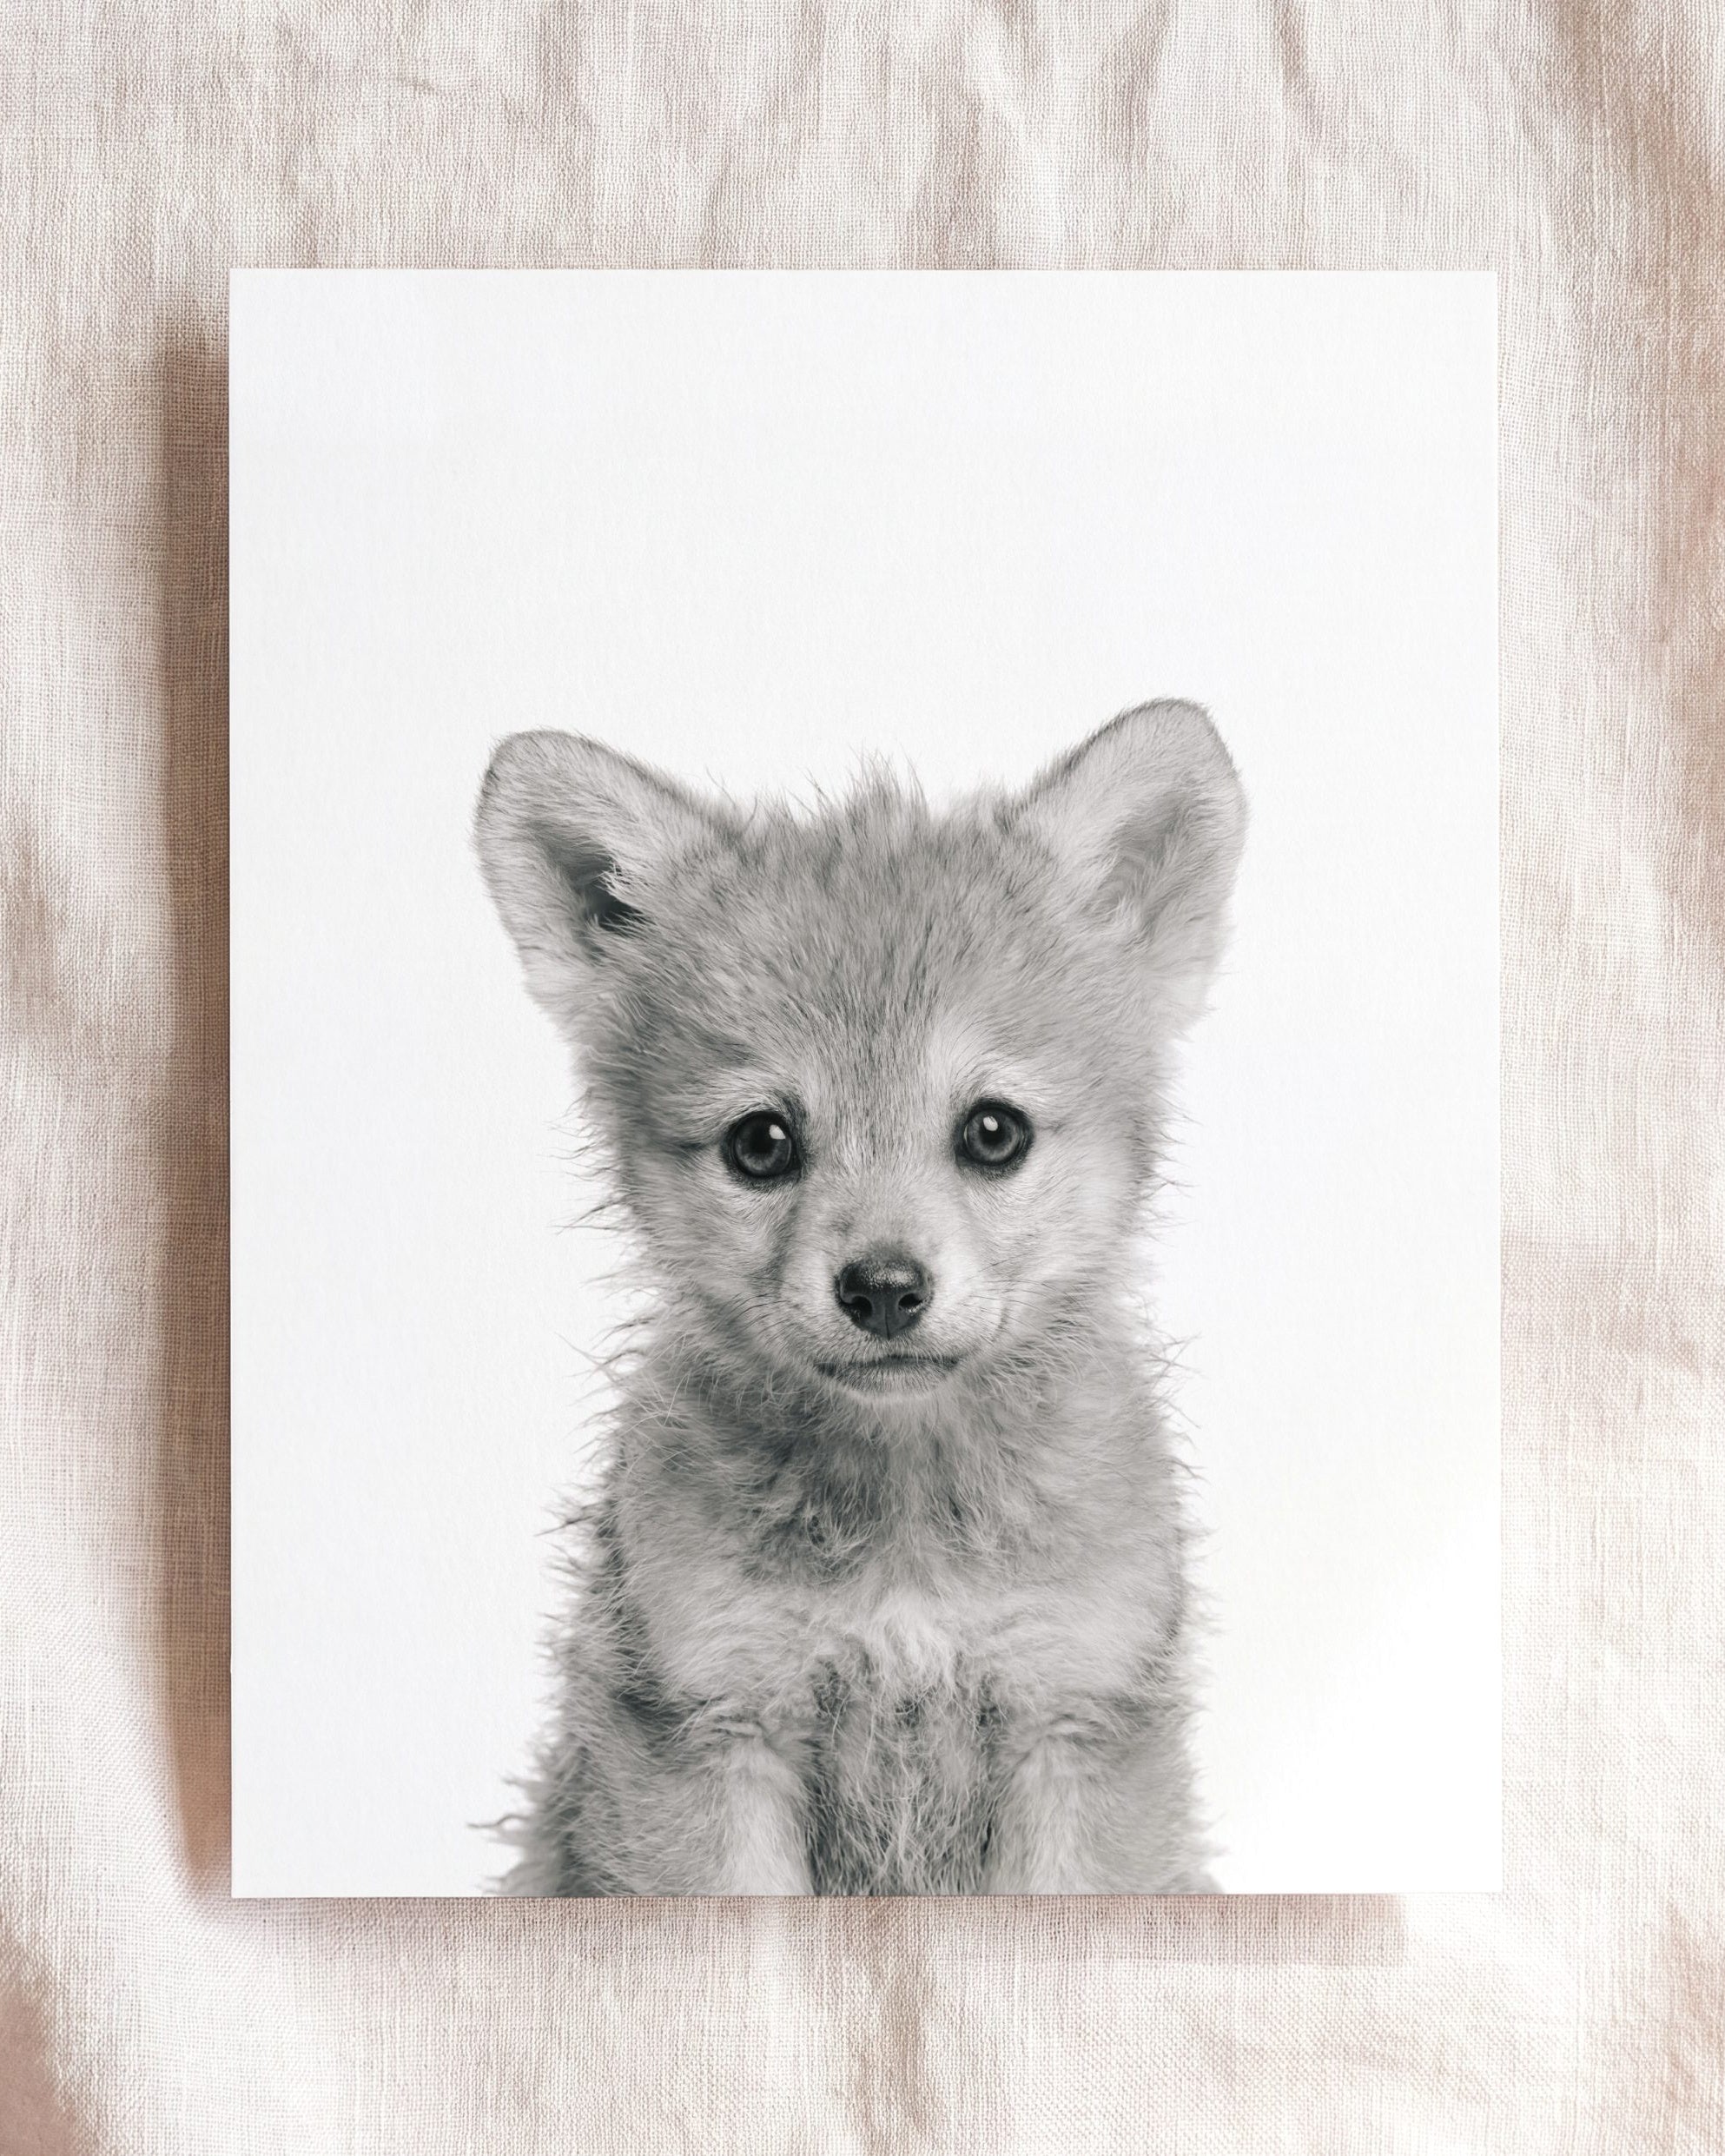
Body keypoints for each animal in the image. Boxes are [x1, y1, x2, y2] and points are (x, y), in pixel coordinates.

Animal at [475, 700, 1245, 1896]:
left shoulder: (1072, 1716)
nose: (883, 1289)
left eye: (993, 1131)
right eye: (760, 1143)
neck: (906, 1533)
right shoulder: (712, 1723)